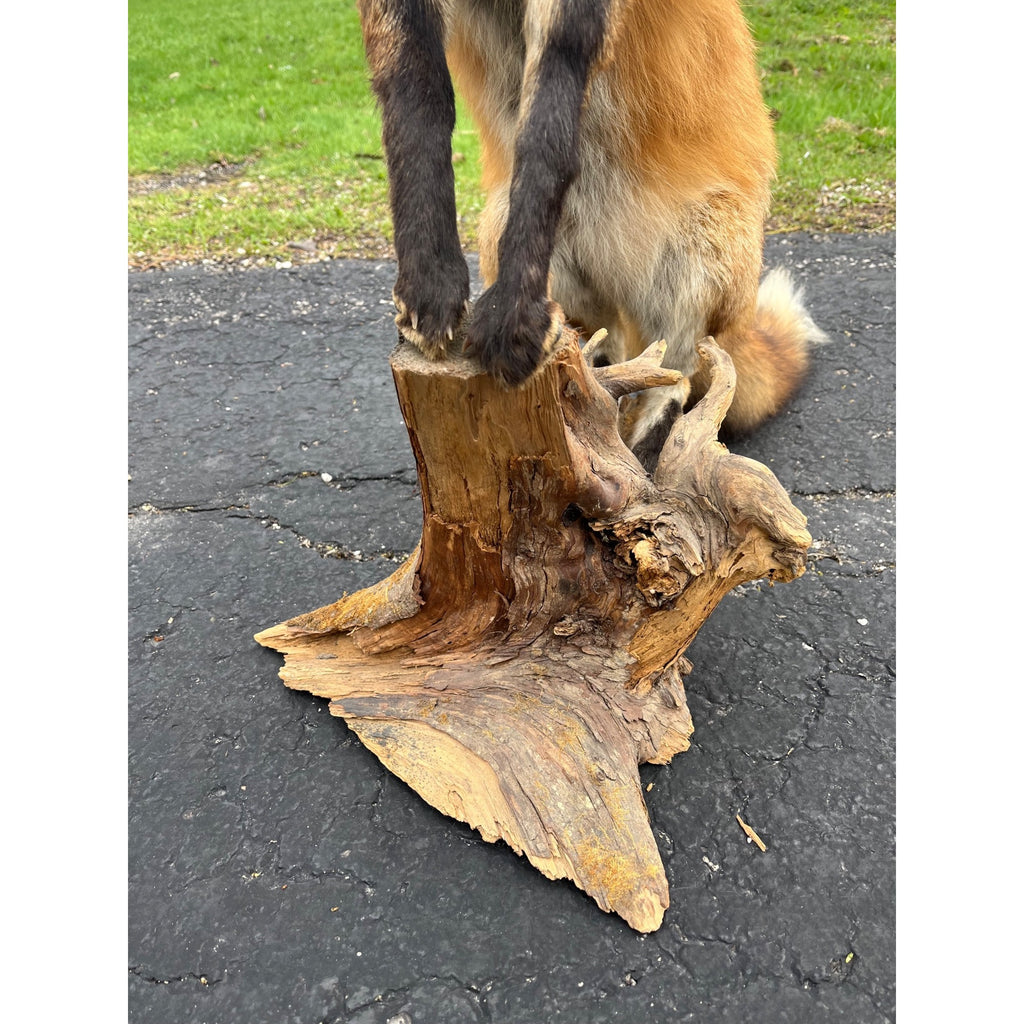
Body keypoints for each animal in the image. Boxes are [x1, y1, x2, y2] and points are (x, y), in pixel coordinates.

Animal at [356, 0, 827, 461]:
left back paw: (651, 435)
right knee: (608, 344)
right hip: (516, 242)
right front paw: (429, 288)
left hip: (704, 254)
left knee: (681, 365)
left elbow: (545, 137)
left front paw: (513, 315)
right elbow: (416, 111)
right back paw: (595, 399)